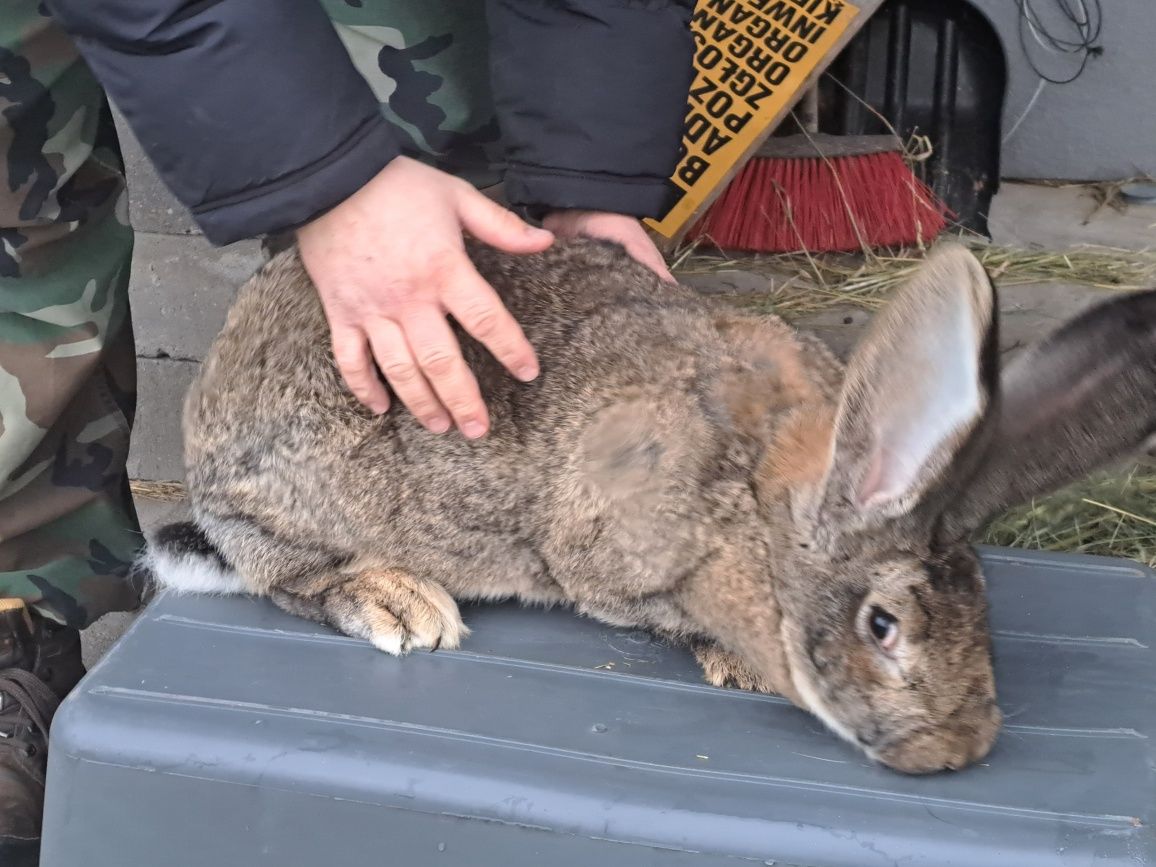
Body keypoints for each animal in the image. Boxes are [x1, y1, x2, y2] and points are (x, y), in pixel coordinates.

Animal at [144, 238, 1156, 772]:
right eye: (883, 626)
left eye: (984, 617)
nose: (957, 748)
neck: (764, 506)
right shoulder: (609, 551)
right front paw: (736, 661)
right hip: (309, 491)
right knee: (286, 572)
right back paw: (398, 602)